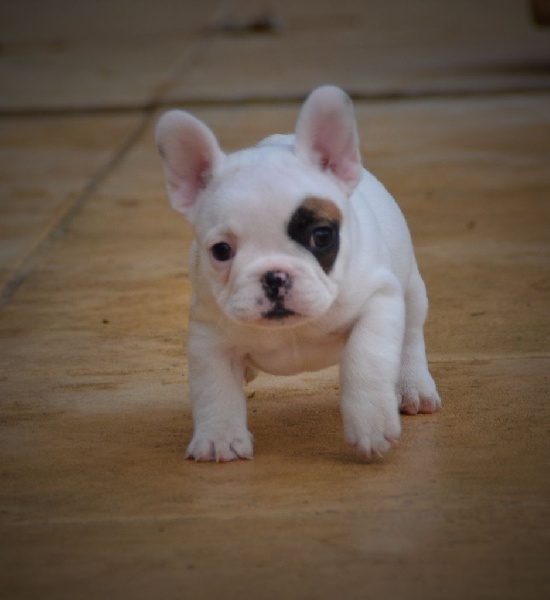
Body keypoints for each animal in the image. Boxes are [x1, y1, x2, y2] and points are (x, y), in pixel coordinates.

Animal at [156, 85, 441, 462]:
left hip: (411, 290)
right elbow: (214, 388)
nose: (274, 276)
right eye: (221, 251)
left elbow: (366, 359)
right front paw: (220, 437)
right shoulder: (208, 335)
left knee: (409, 334)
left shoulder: (378, 300)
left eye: (321, 236)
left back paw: (413, 388)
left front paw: (371, 422)